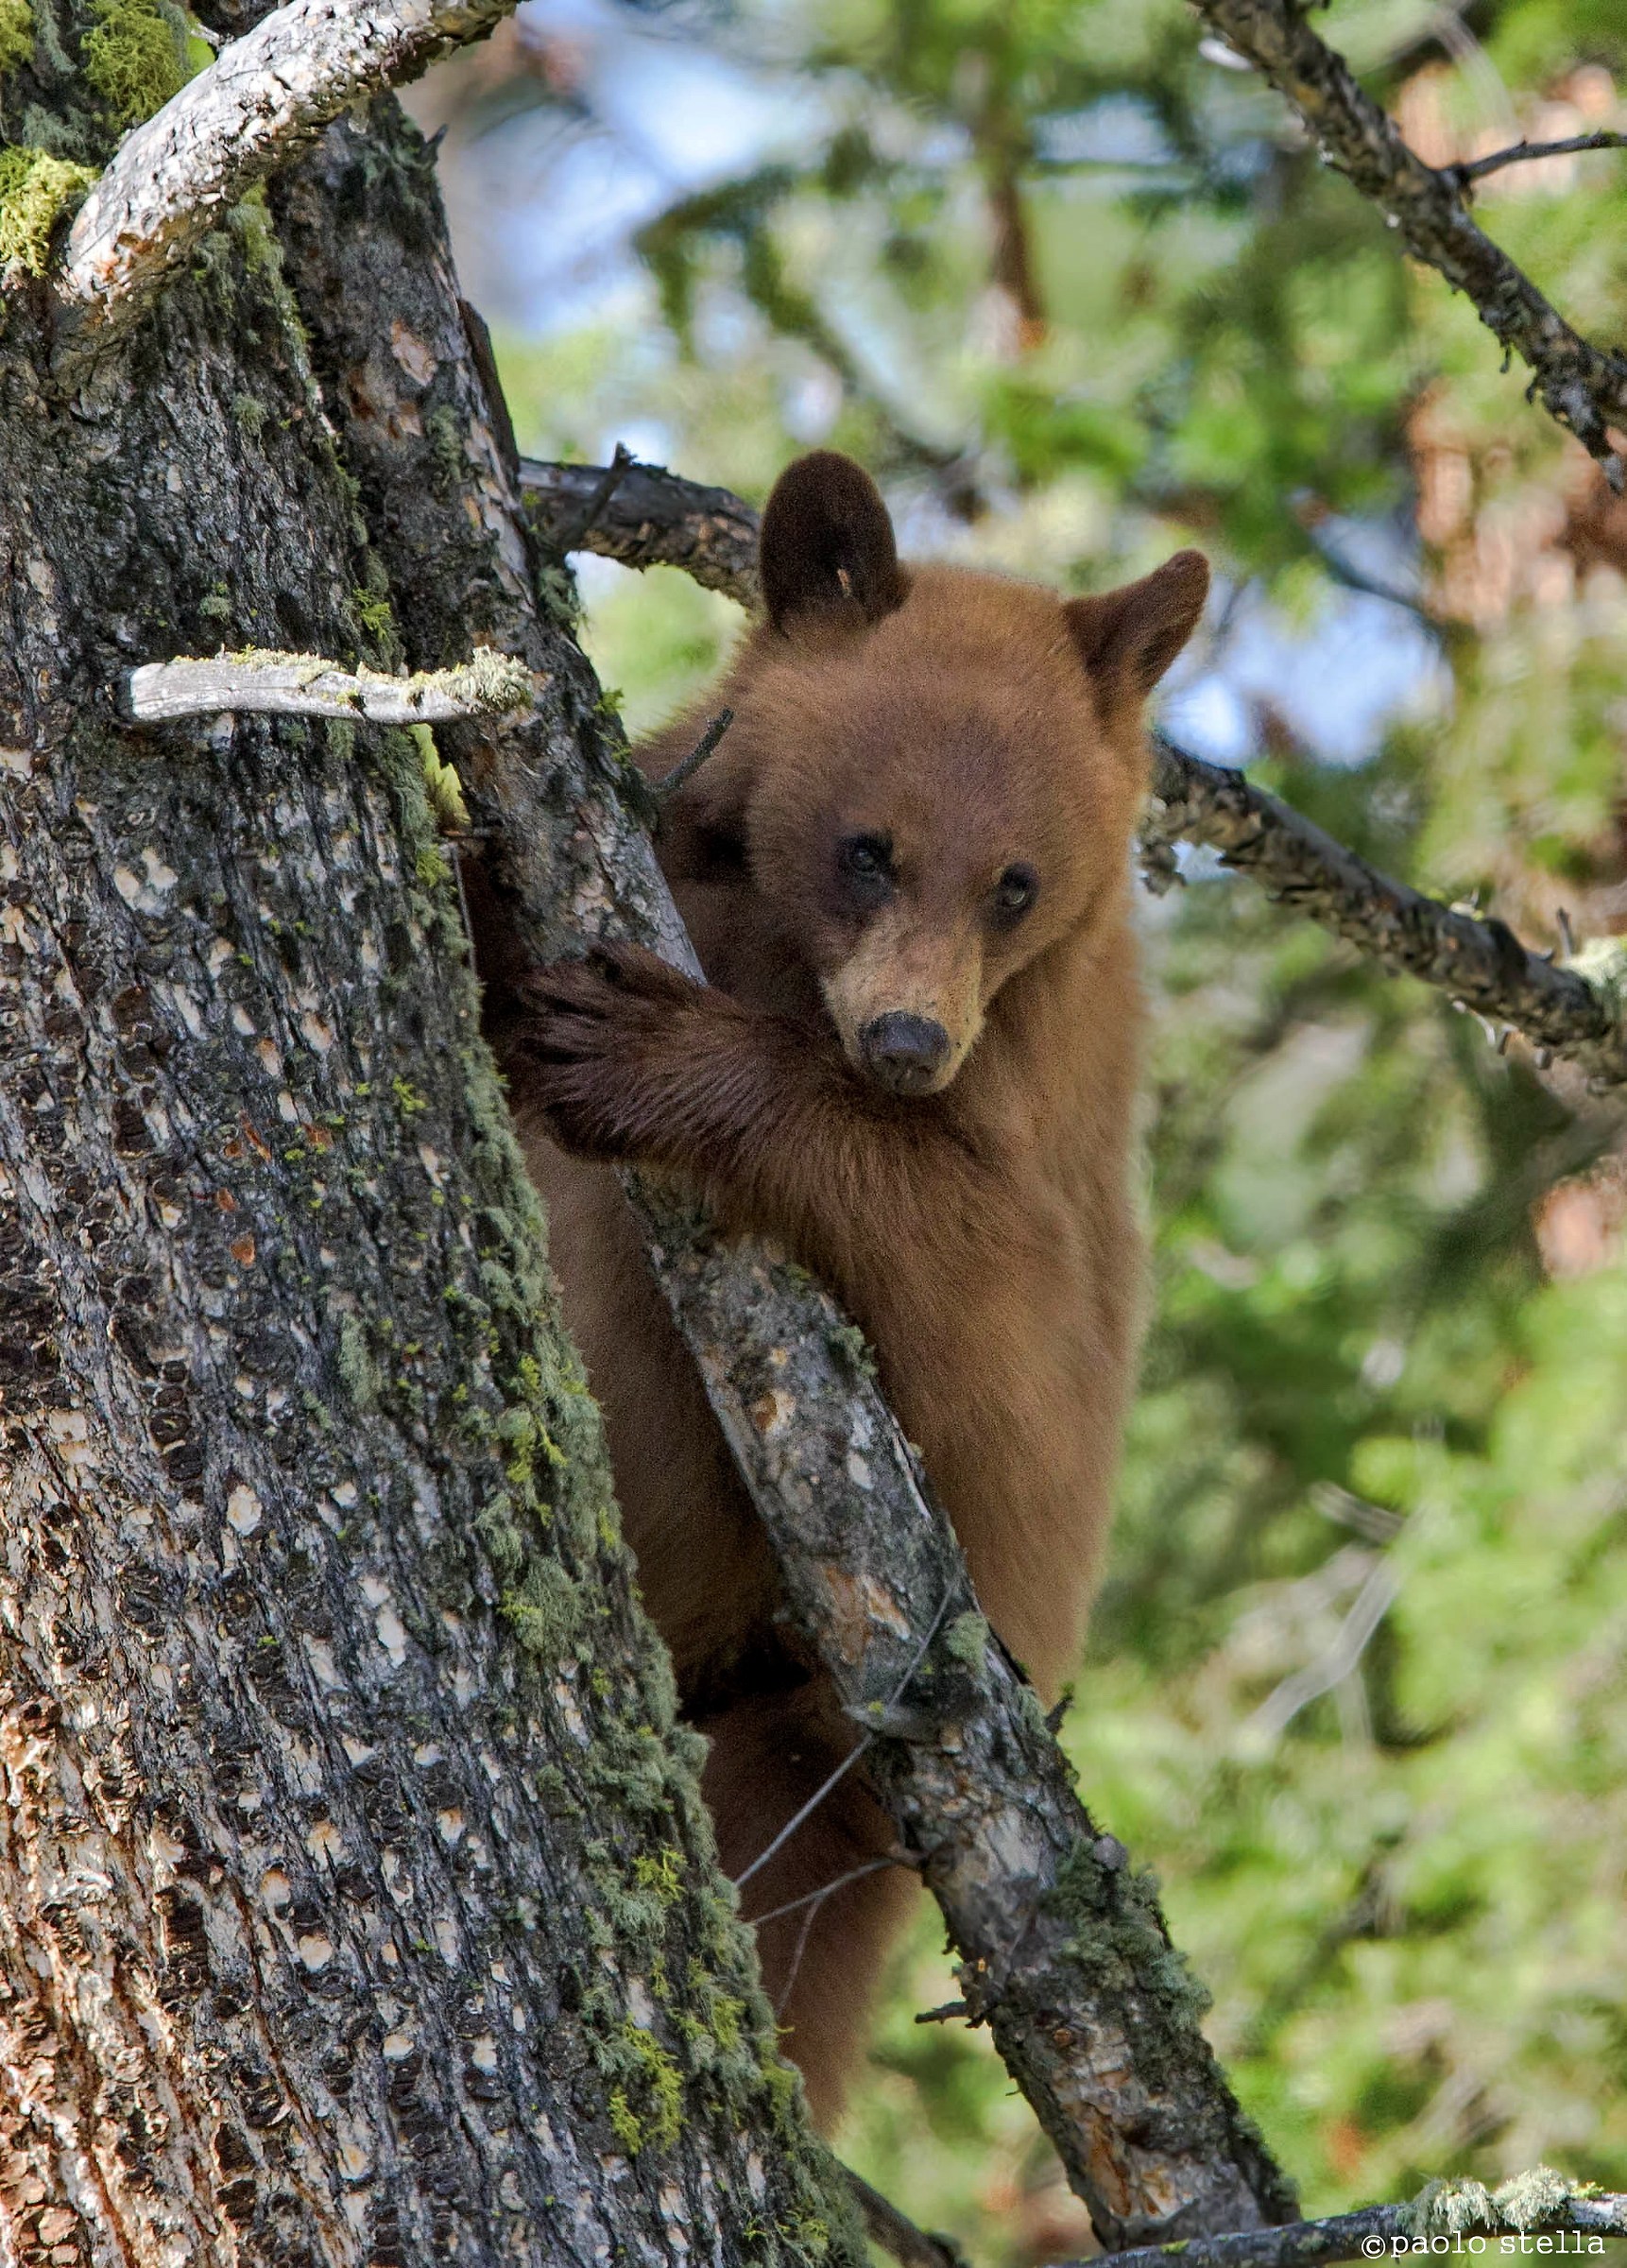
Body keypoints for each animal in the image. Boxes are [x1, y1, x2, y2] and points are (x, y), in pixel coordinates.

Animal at [482, 450, 1208, 2129]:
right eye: (866, 846)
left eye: (1015, 884)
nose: (903, 1043)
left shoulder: (1044, 1132)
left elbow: (987, 1303)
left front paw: (655, 1057)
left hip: (815, 1731)